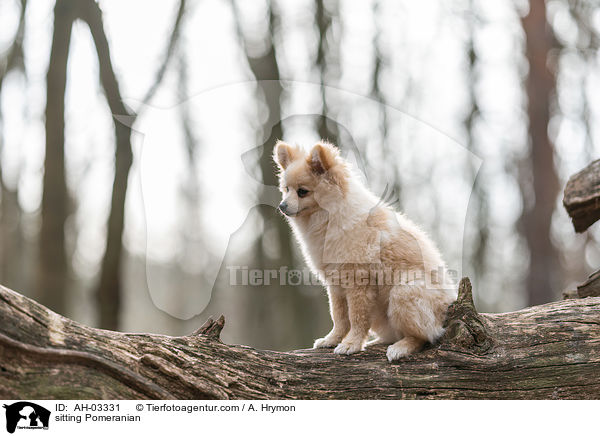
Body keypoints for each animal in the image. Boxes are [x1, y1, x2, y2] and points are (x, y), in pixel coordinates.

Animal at [274, 141, 458, 362]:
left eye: (302, 192)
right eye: (286, 189)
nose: (282, 205)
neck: (329, 218)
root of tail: (450, 302)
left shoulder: (358, 282)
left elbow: (356, 317)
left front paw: (351, 344)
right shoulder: (335, 284)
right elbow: (339, 316)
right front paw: (332, 340)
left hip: (403, 292)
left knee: (424, 336)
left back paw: (401, 347)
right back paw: (378, 342)